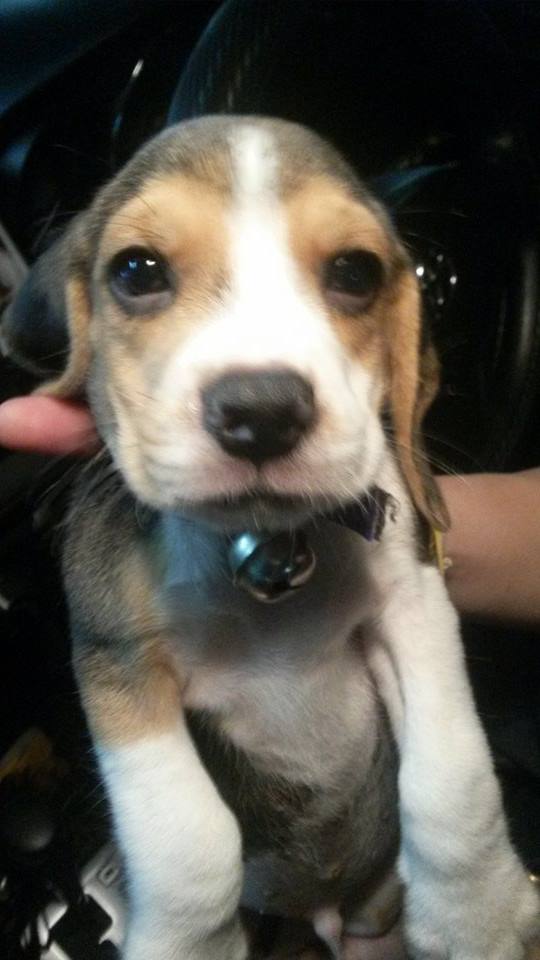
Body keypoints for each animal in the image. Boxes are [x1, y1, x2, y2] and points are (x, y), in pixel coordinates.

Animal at [3, 116, 539, 959]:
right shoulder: (117, 664)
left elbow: (453, 780)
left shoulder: (414, 611)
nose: (260, 410)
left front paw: (476, 913)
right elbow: (191, 846)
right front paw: (187, 943)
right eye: (136, 270)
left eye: (355, 271)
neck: (261, 554)